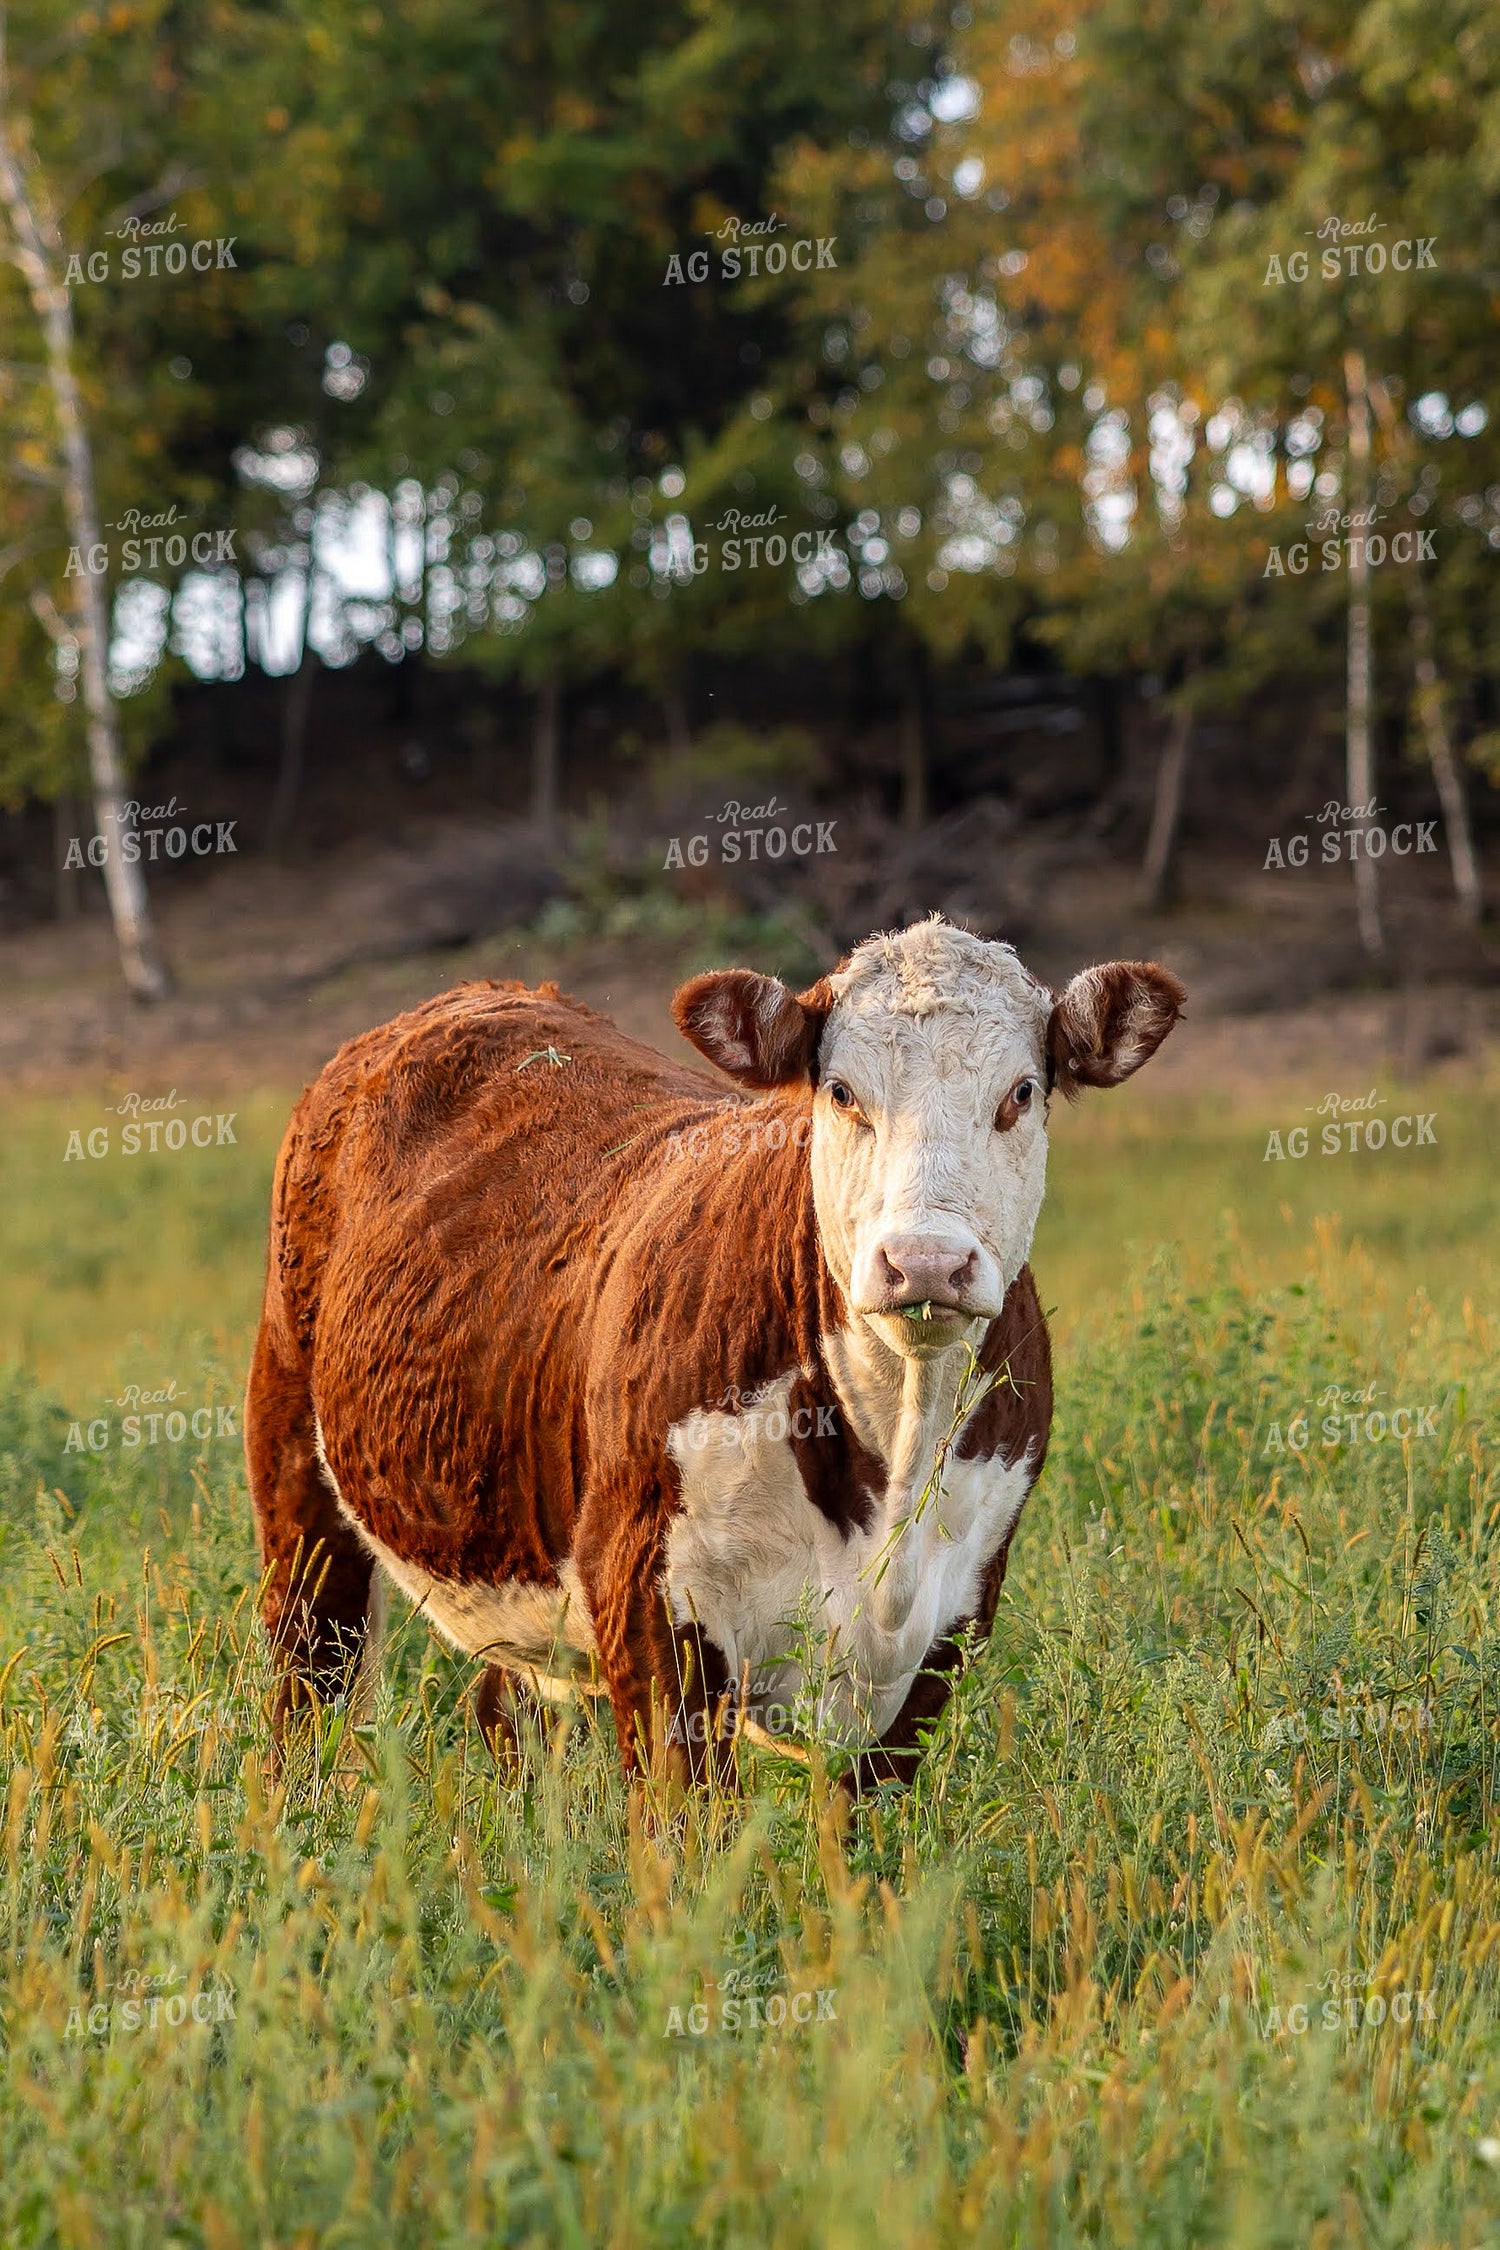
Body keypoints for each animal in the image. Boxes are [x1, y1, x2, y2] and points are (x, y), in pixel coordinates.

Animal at [245, 917, 1183, 1789]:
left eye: (1020, 1091)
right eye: (841, 1091)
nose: (925, 1262)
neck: (894, 1446)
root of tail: (480, 992)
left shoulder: (948, 1629)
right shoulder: (651, 1603)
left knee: (510, 1717)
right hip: (296, 1481)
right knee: (309, 1685)